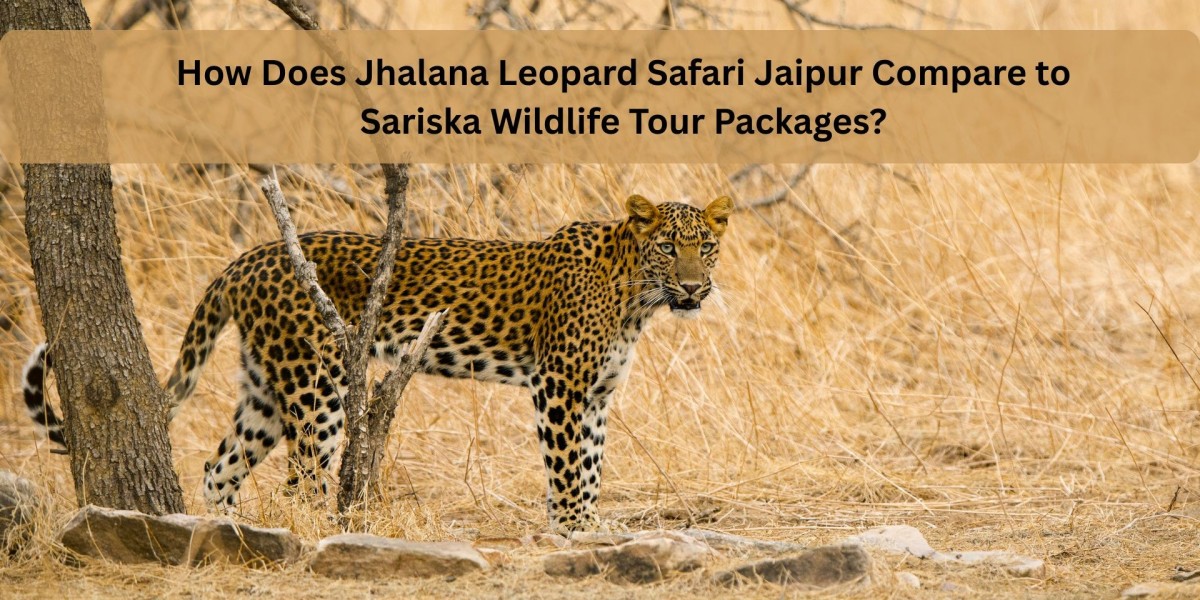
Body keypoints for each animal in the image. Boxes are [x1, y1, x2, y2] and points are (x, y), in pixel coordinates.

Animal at [21, 194, 733, 533]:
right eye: (669, 247)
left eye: (707, 247)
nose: (694, 289)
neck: (637, 297)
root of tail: (246, 259)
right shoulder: (559, 387)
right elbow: (565, 467)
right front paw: (573, 530)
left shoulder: (597, 396)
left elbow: (591, 465)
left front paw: (588, 523)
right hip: (317, 382)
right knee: (304, 479)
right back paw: (311, 534)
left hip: (264, 389)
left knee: (219, 466)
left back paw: (224, 530)